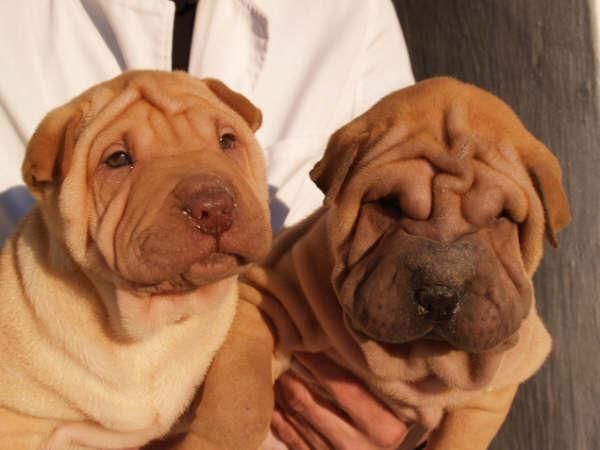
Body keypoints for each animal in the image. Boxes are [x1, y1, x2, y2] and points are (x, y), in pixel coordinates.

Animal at [0, 71, 274, 450]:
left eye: (227, 140)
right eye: (117, 159)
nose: (214, 207)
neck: (156, 323)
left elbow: (242, 388)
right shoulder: (18, 418)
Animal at [244, 78, 572, 450]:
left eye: (500, 217)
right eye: (389, 204)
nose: (440, 295)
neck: (419, 366)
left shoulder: (488, 397)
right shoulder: (269, 296)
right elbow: (241, 389)